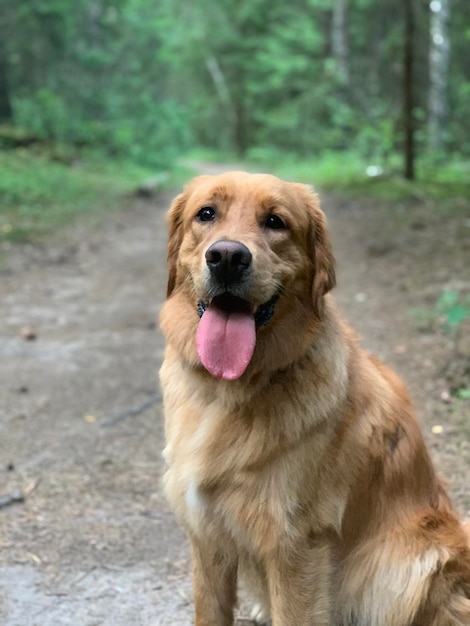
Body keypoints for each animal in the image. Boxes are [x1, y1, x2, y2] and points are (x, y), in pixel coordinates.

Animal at [159, 172, 470, 624]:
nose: (228, 257)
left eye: (275, 221)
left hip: (409, 563)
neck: (229, 390)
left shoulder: (295, 544)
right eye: (206, 213)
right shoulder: (206, 534)